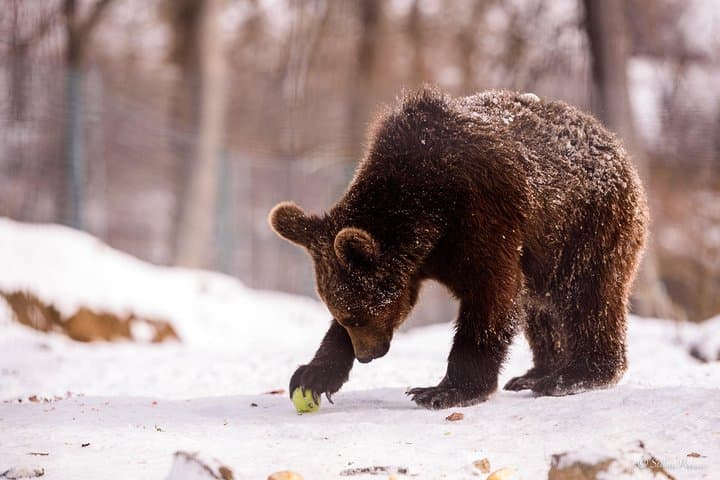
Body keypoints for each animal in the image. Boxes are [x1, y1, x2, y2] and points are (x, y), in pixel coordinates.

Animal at [269, 86, 648, 409]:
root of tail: (610, 138)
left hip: (585, 226)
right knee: (542, 309)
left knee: (587, 296)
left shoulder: (485, 216)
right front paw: (311, 375)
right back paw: (535, 373)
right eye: (342, 314)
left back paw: (574, 375)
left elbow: (491, 298)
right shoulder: (419, 261)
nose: (367, 354)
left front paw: (444, 390)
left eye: (355, 316)